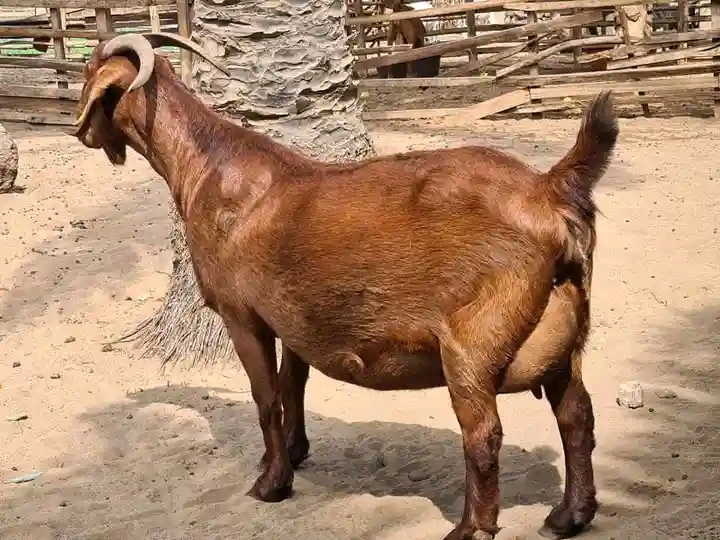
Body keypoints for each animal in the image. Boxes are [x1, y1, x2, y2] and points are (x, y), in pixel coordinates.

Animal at [68, 32, 618, 540]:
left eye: (91, 70)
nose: (84, 132)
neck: (209, 167)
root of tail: (547, 191)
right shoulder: (291, 317)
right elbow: (292, 384)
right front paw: (294, 453)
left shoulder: (242, 315)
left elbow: (265, 396)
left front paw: (271, 483)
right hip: (565, 330)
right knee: (576, 417)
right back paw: (570, 514)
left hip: (471, 345)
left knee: (483, 434)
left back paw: (470, 528)